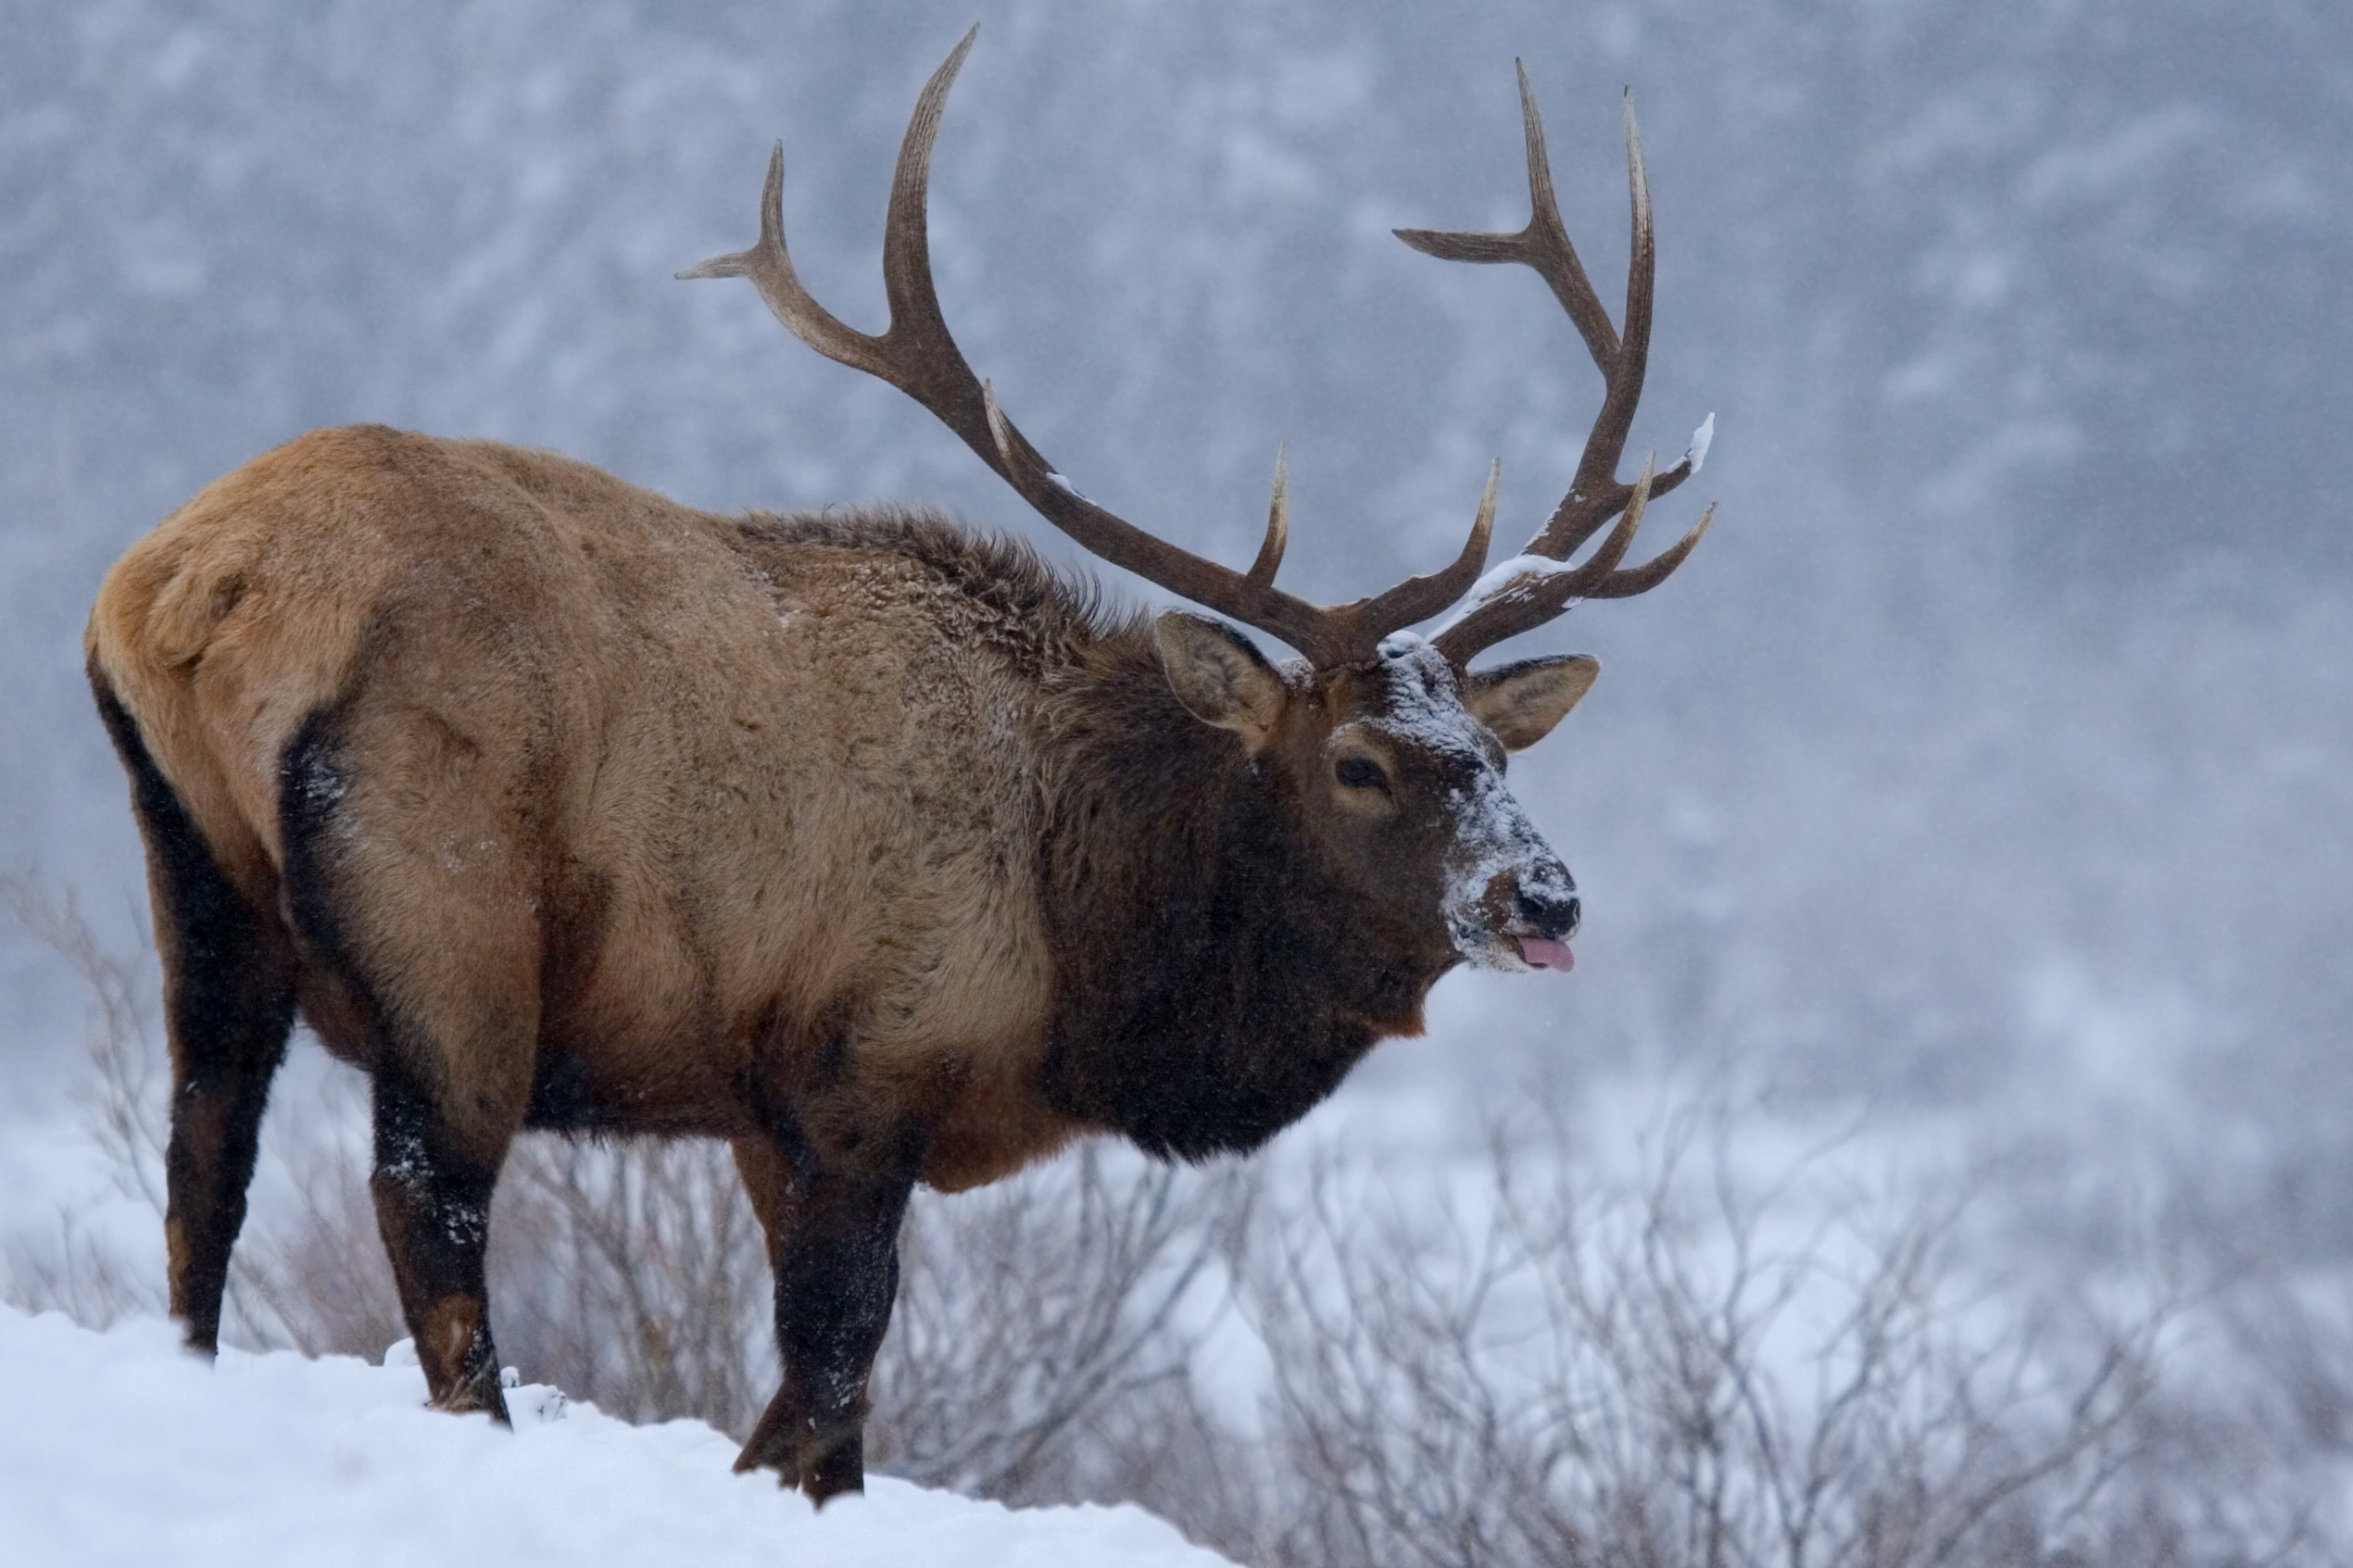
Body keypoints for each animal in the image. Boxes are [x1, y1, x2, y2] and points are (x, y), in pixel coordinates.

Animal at [86, 31, 1713, 1504]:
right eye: (1361, 764)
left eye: (1489, 748)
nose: (1544, 895)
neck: (1082, 952)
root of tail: (188, 589)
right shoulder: (870, 1059)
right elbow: (830, 1374)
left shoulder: (764, 1117)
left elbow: (831, 1411)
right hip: (450, 911)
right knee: (428, 1204)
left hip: (195, 875)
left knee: (203, 1155)